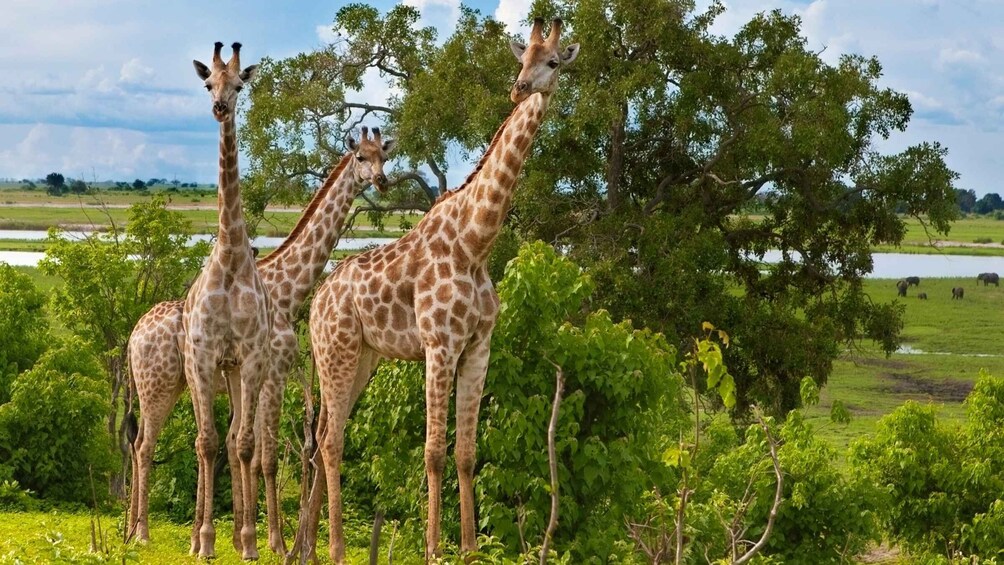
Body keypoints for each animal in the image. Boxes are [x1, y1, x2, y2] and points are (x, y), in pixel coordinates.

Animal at [126, 127, 395, 555]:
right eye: (360, 159)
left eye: (384, 157)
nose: (382, 181)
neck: (289, 289)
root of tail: (133, 337)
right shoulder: (274, 374)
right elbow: (263, 457)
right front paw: (275, 543)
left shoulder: (250, 375)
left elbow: (239, 446)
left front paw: (237, 537)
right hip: (160, 385)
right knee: (144, 446)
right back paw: (143, 534)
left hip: (174, 384)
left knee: (149, 444)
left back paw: (142, 531)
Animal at [305, 18, 579, 563]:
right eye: (521, 58)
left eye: (553, 61)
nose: (520, 88)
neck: (476, 242)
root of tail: (316, 302)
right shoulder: (439, 344)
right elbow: (433, 452)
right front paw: (434, 548)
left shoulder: (478, 346)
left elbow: (467, 453)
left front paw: (471, 548)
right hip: (336, 351)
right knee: (331, 440)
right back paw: (337, 547)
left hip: (363, 357)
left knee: (327, 431)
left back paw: (312, 545)